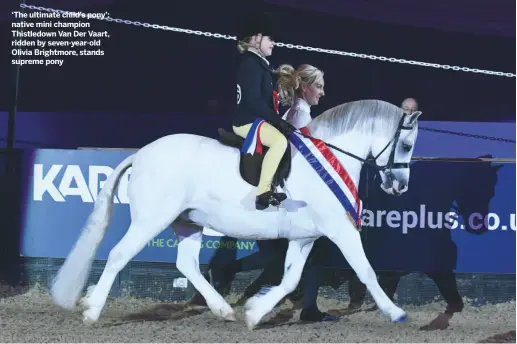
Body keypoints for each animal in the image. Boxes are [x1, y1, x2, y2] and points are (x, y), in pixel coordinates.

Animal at [49, 98, 420, 330]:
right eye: (406, 145)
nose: (400, 186)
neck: (328, 161)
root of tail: (140, 154)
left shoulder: (304, 237)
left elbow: (290, 279)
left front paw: (255, 314)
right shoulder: (340, 230)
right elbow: (366, 271)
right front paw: (396, 313)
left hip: (187, 222)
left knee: (187, 264)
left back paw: (224, 310)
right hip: (150, 220)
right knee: (118, 255)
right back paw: (92, 312)